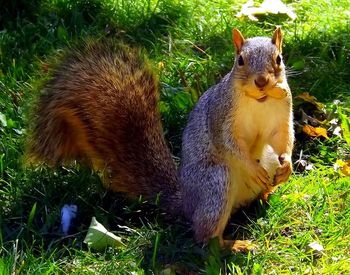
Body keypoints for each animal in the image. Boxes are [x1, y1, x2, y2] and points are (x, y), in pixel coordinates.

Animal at [28, 27, 294, 252]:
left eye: (279, 59)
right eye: (240, 60)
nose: (262, 81)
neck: (260, 100)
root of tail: (186, 202)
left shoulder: (282, 113)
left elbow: (283, 138)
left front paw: (288, 166)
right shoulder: (220, 116)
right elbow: (228, 144)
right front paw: (252, 167)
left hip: (264, 162)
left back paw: (269, 191)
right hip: (215, 183)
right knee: (205, 237)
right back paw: (232, 244)